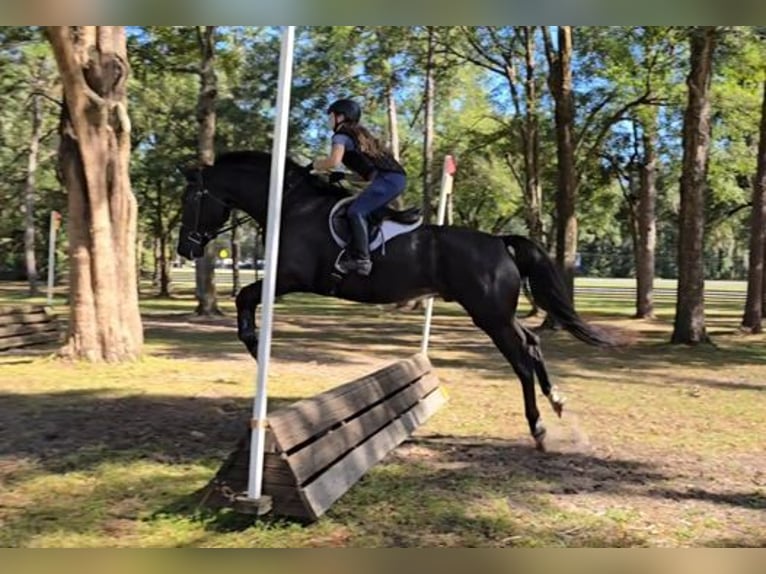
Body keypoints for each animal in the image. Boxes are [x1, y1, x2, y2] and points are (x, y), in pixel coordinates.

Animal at [176, 151, 616, 452]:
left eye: (190, 200)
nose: (185, 248)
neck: (291, 206)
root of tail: (499, 242)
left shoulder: (291, 277)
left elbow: (246, 296)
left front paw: (254, 343)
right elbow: (246, 297)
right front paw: (254, 344)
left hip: (490, 316)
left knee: (521, 361)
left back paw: (539, 429)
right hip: (498, 312)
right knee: (533, 342)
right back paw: (557, 401)